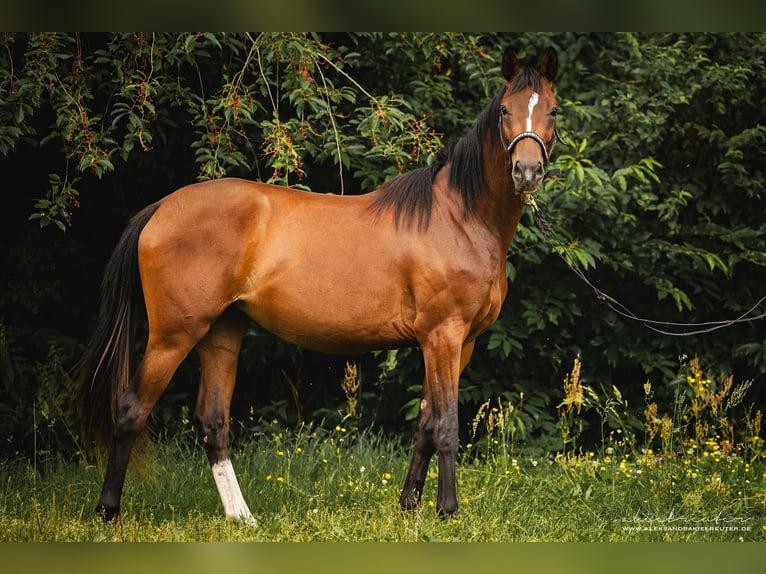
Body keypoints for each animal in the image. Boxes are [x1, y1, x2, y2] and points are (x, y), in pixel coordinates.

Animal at [78, 47, 564, 528]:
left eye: (554, 110)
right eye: (504, 110)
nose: (527, 171)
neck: (458, 218)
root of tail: (162, 207)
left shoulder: (456, 344)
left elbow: (425, 426)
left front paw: (409, 507)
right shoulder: (443, 336)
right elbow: (446, 427)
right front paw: (447, 511)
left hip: (221, 334)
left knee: (212, 422)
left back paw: (242, 518)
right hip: (173, 336)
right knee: (131, 409)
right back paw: (108, 511)